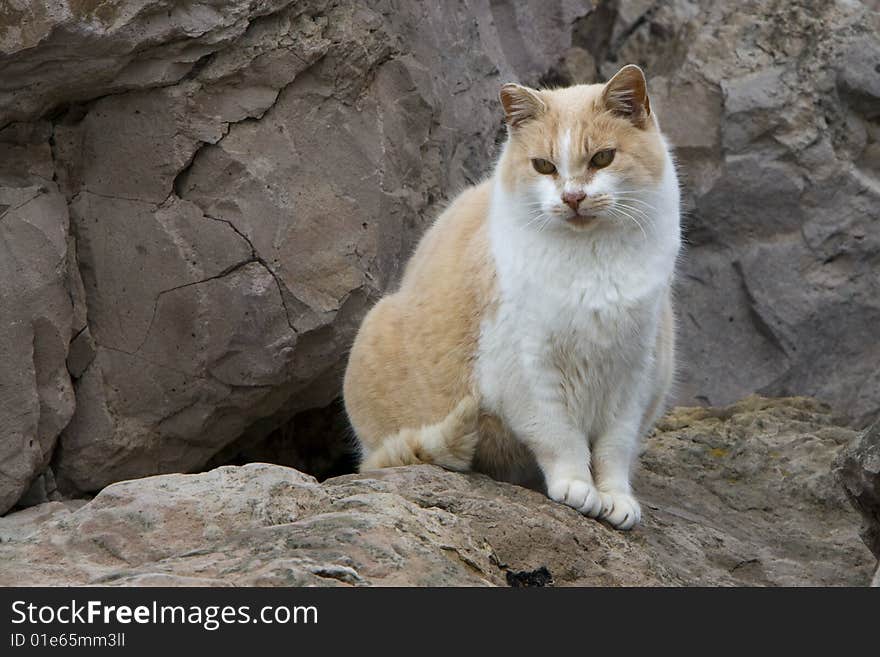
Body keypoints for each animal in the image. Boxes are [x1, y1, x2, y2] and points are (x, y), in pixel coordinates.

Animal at [344, 65, 680, 528]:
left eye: (602, 159)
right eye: (543, 166)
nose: (572, 197)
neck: (591, 262)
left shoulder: (634, 374)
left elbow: (614, 449)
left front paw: (615, 498)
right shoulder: (529, 371)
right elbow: (561, 438)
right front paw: (578, 487)